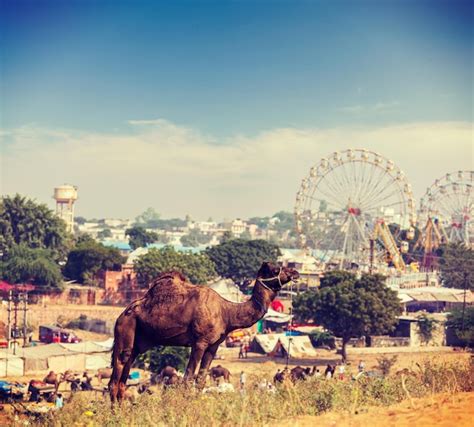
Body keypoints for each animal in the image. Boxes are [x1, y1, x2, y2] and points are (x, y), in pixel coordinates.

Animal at [109, 262, 298, 402]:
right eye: (275, 269)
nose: (295, 272)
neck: (227, 313)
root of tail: (121, 315)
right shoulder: (199, 342)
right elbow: (188, 378)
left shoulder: (213, 345)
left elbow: (200, 380)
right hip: (125, 330)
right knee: (116, 375)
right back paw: (115, 415)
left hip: (138, 343)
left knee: (122, 379)